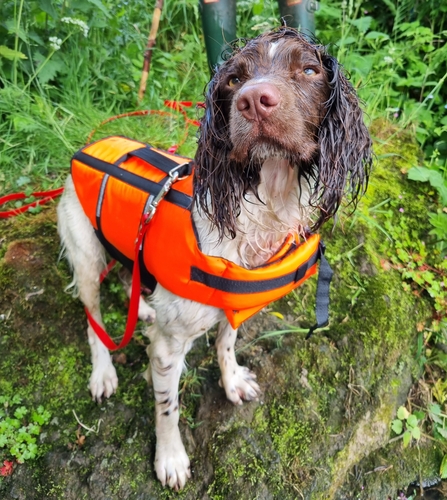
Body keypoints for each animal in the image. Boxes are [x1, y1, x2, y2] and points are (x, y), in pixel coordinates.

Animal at [57, 27, 372, 488]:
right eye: (233, 80)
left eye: (311, 70)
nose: (253, 100)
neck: (259, 211)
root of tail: (89, 146)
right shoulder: (167, 350)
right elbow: (167, 408)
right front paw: (170, 458)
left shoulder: (233, 304)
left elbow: (226, 341)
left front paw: (232, 380)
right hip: (84, 256)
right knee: (92, 319)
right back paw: (103, 371)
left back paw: (144, 310)